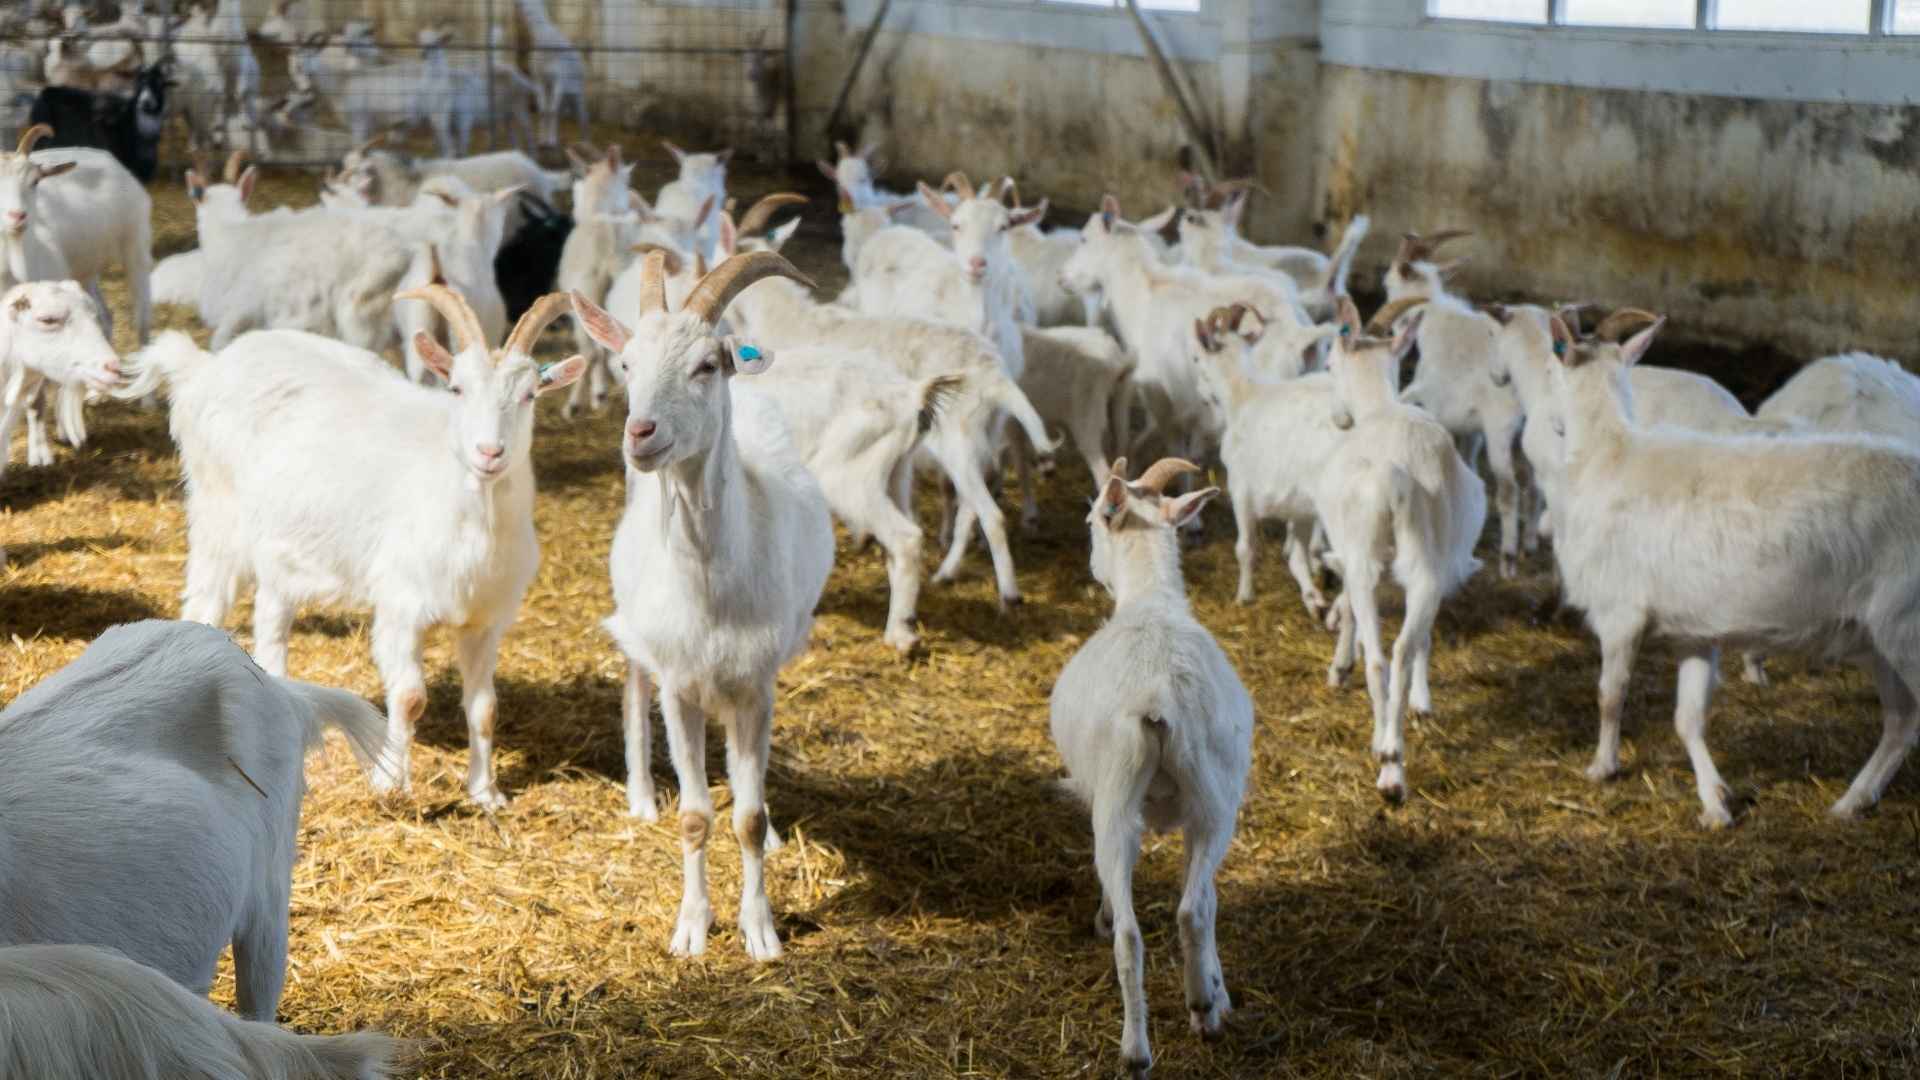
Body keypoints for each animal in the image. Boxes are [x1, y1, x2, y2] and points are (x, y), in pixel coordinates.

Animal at [1052, 456, 1250, 1077]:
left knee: (1132, 935)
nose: (1093, 567)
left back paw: (1137, 1049)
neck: (1151, 601)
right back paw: (1200, 1005)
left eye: (1092, 517)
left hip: (1118, 805)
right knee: (1192, 910)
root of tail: (1159, 697)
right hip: (1213, 801)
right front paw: (1217, 995)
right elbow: (1206, 899)